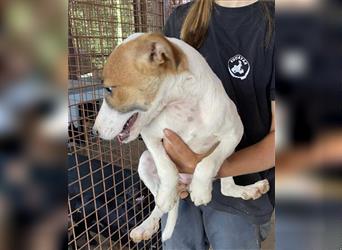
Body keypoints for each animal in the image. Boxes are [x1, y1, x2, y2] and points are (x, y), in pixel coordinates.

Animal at [93, 32, 270, 242]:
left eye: (109, 89)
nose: (94, 132)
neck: (183, 106)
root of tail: (185, 181)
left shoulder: (234, 134)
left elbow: (208, 162)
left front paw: (201, 189)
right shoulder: (151, 136)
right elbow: (166, 167)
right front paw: (167, 195)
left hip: (231, 157)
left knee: (226, 187)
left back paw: (250, 190)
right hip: (144, 161)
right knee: (159, 200)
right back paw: (150, 221)